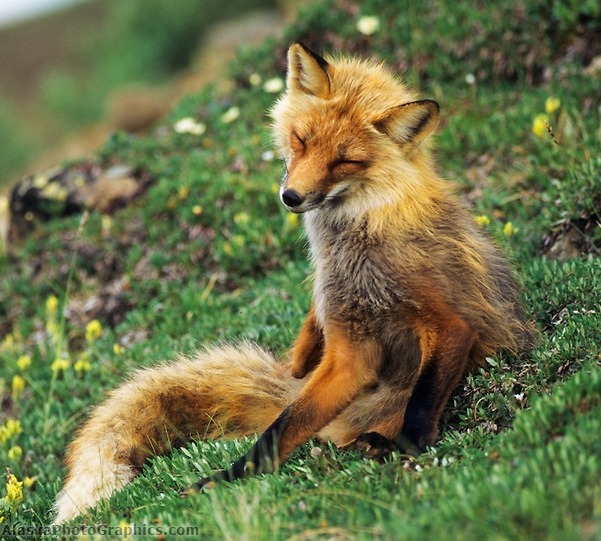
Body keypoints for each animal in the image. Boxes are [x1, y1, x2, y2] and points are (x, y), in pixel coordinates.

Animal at [52, 44, 528, 520]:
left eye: (345, 160)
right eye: (302, 140)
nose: (291, 197)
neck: (360, 241)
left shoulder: (450, 323)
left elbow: (423, 404)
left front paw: (408, 448)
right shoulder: (349, 347)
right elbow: (280, 429)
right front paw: (229, 478)